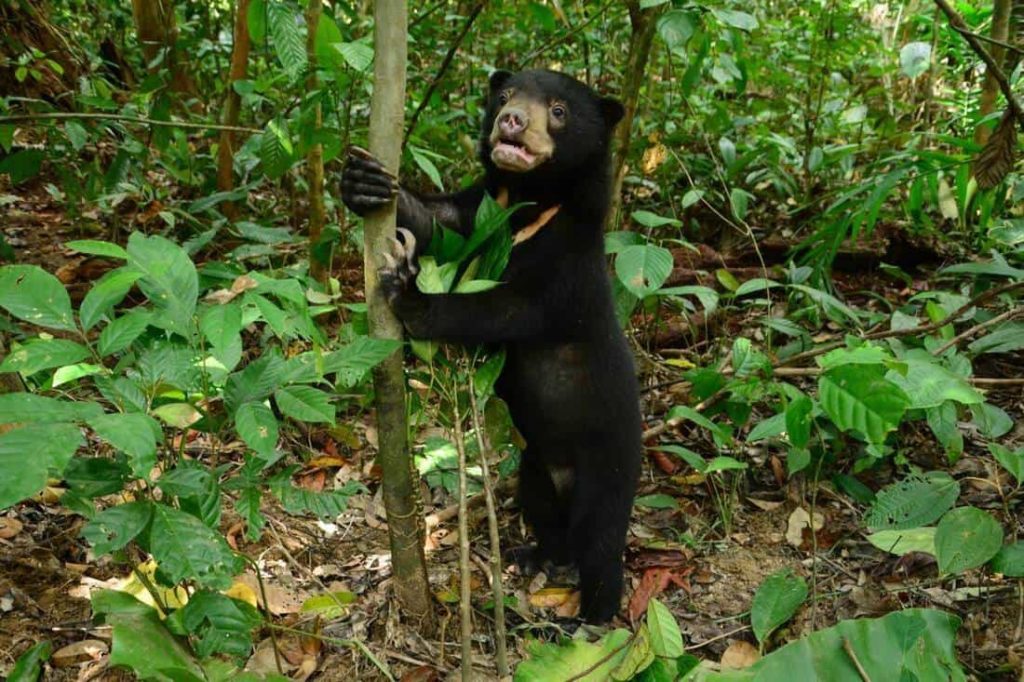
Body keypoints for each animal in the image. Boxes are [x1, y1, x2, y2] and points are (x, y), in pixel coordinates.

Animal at [342, 69, 638, 622]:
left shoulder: (567, 269)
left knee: (602, 542)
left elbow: (507, 311)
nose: (512, 121)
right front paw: (364, 182)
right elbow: (442, 226)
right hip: (535, 468)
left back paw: (592, 618)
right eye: (503, 96)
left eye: (559, 111)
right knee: (545, 513)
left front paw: (408, 293)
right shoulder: (481, 213)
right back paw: (538, 556)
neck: (527, 203)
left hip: (608, 464)